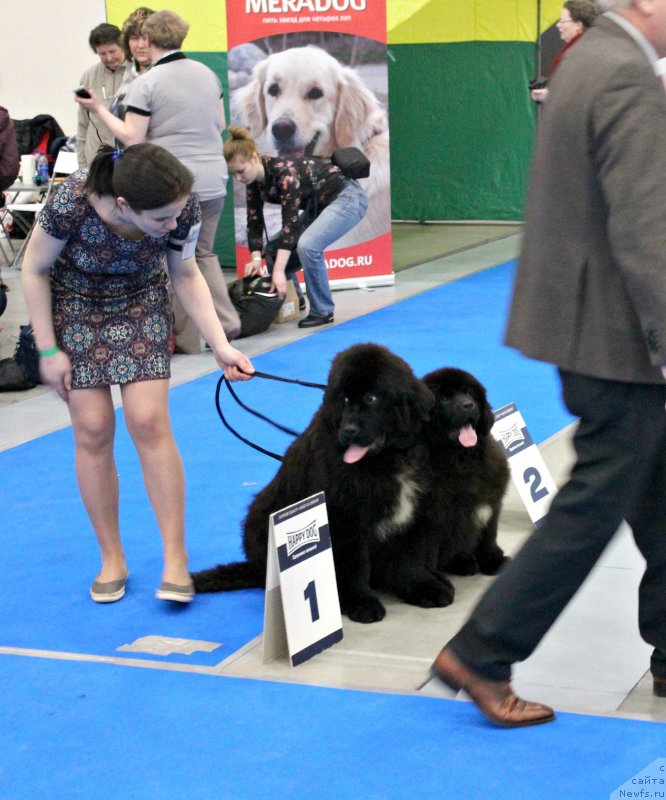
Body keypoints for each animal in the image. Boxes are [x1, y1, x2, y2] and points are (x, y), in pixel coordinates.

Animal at [192, 340, 440, 620]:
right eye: (344, 399)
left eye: (372, 398)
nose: (349, 431)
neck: (383, 463)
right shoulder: (344, 518)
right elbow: (352, 564)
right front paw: (360, 601)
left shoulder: (409, 512)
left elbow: (406, 558)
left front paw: (421, 587)